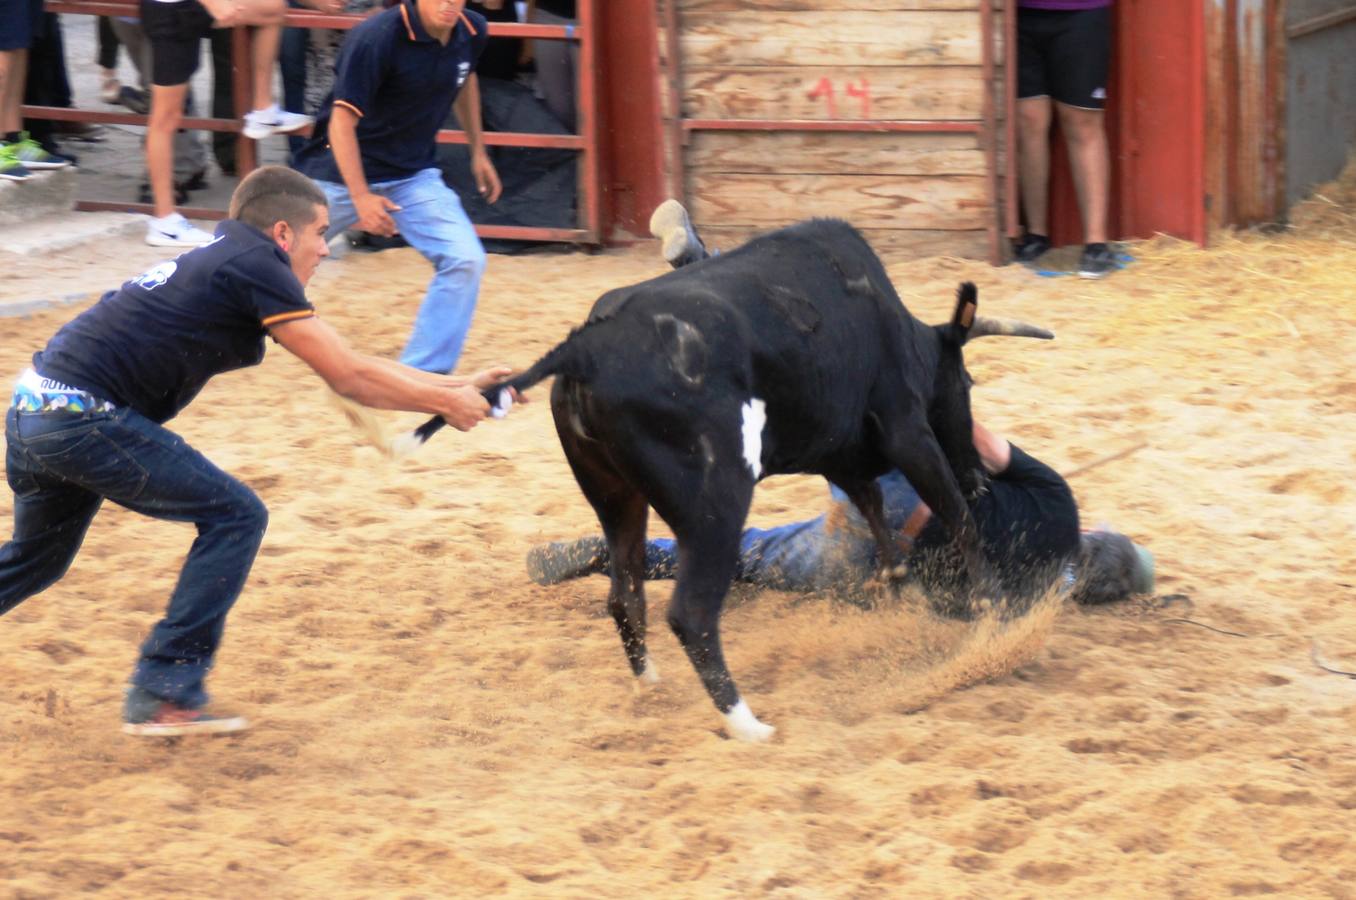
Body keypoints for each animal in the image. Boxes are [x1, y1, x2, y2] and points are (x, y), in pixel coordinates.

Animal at [406, 220, 1052, 742]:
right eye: (966, 383)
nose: (980, 475)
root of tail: (585, 346)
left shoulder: (840, 453)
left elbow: (874, 512)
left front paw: (899, 592)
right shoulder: (906, 432)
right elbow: (954, 515)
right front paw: (994, 611)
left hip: (617, 499)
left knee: (625, 594)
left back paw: (652, 688)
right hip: (717, 505)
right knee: (690, 613)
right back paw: (748, 725)